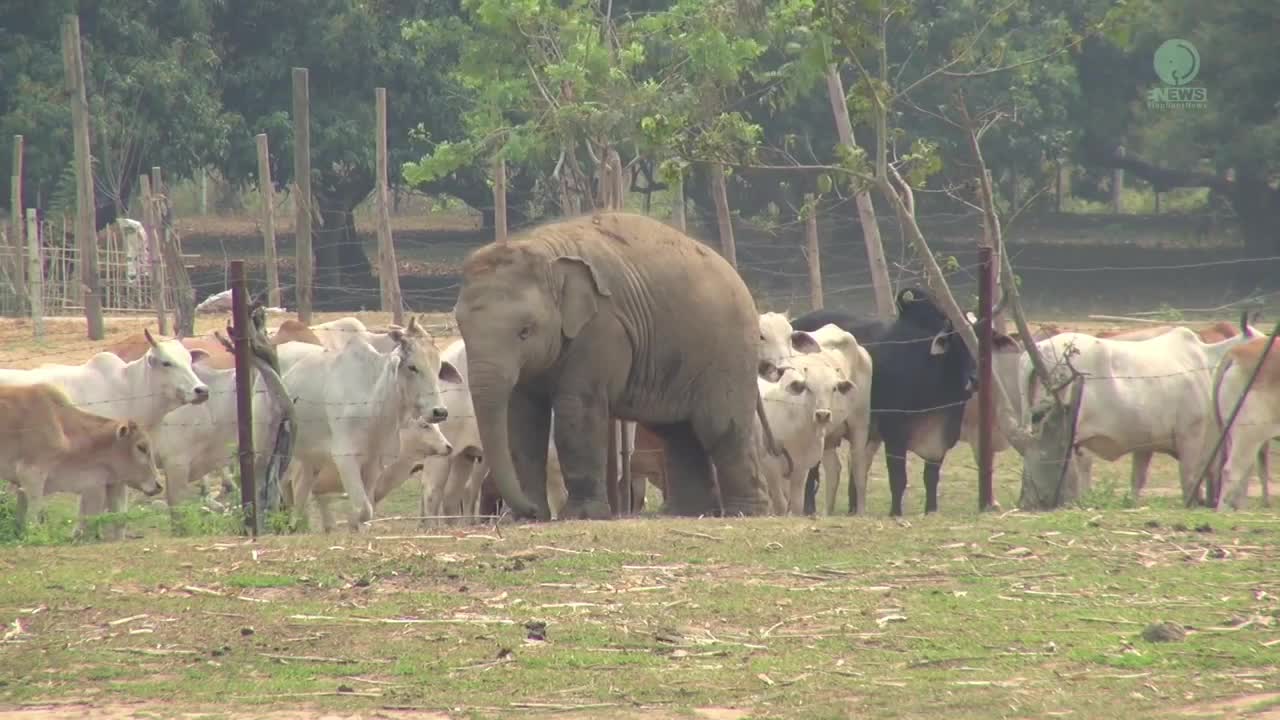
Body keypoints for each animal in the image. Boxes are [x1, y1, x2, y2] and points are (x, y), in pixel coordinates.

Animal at [264, 316, 460, 530]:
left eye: (438, 368)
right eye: (412, 367)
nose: (440, 412)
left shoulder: (374, 464)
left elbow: (366, 511)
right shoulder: (345, 458)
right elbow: (362, 509)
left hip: (309, 459)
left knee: (300, 493)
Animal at [455, 210, 773, 517]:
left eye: (525, 331)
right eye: (461, 328)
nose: (529, 510)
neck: (546, 250)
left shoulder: (601, 329)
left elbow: (576, 409)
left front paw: (581, 515)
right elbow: (522, 419)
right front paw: (526, 518)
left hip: (729, 351)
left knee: (720, 428)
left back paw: (744, 513)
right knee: (677, 432)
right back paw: (692, 512)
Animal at [788, 285, 977, 515]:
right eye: (956, 342)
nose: (975, 379)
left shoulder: (939, 440)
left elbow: (931, 478)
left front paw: (931, 510)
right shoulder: (894, 433)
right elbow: (898, 478)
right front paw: (896, 513)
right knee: (812, 470)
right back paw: (809, 510)